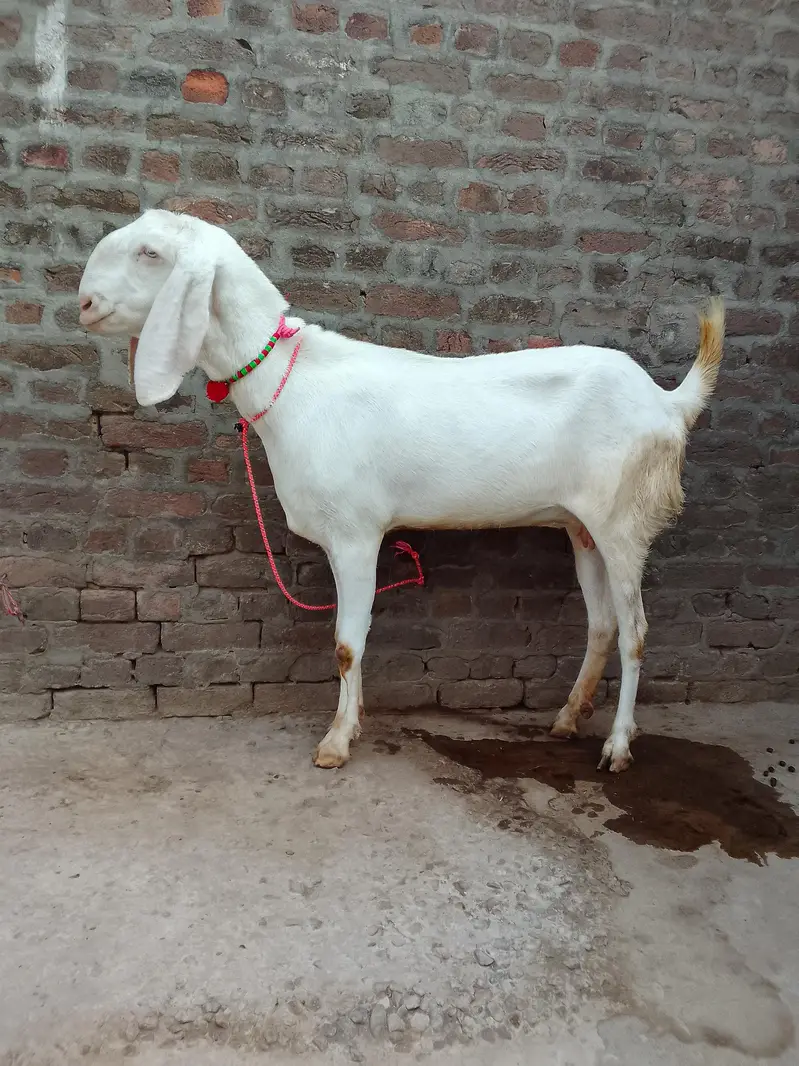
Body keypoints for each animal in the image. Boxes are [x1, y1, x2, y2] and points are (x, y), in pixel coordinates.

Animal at [79, 210, 724, 773]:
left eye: (150, 253)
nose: (84, 304)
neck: (292, 383)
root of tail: (668, 401)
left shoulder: (355, 533)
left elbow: (345, 643)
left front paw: (336, 742)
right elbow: (351, 639)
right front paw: (355, 718)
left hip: (623, 520)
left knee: (636, 633)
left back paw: (617, 747)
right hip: (582, 525)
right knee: (602, 625)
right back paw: (566, 719)